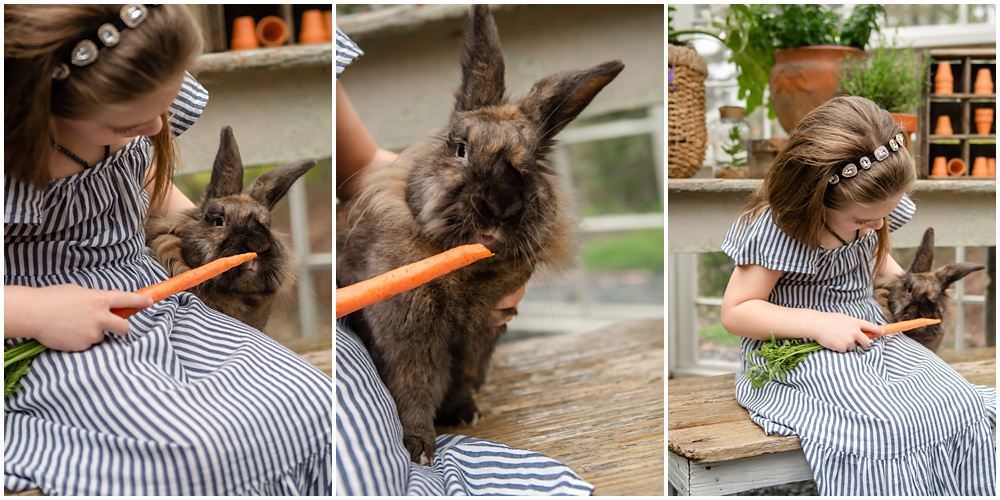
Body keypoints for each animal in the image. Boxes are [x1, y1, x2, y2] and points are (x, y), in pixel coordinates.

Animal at [336, 3, 620, 464]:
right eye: (461, 149)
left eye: (534, 164)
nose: (500, 206)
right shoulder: (407, 339)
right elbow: (413, 390)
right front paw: (419, 448)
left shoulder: (479, 338)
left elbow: (461, 382)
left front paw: (465, 414)